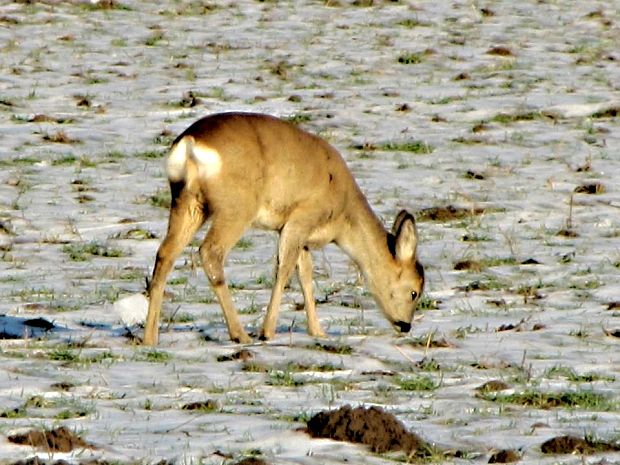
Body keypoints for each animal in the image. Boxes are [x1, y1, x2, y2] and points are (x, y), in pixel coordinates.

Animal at [145, 112, 424, 344]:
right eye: (414, 292)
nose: (406, 325)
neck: (343, 216)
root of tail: (190, 143)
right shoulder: (300, 218)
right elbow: (285, 269)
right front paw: (267, 331)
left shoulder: (299, 234)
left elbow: (306, 275)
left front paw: (317, 331)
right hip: (236, 207)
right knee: (210, 252)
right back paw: (240, 334)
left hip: (188, 201)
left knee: (165, 253)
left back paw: (149, 338)